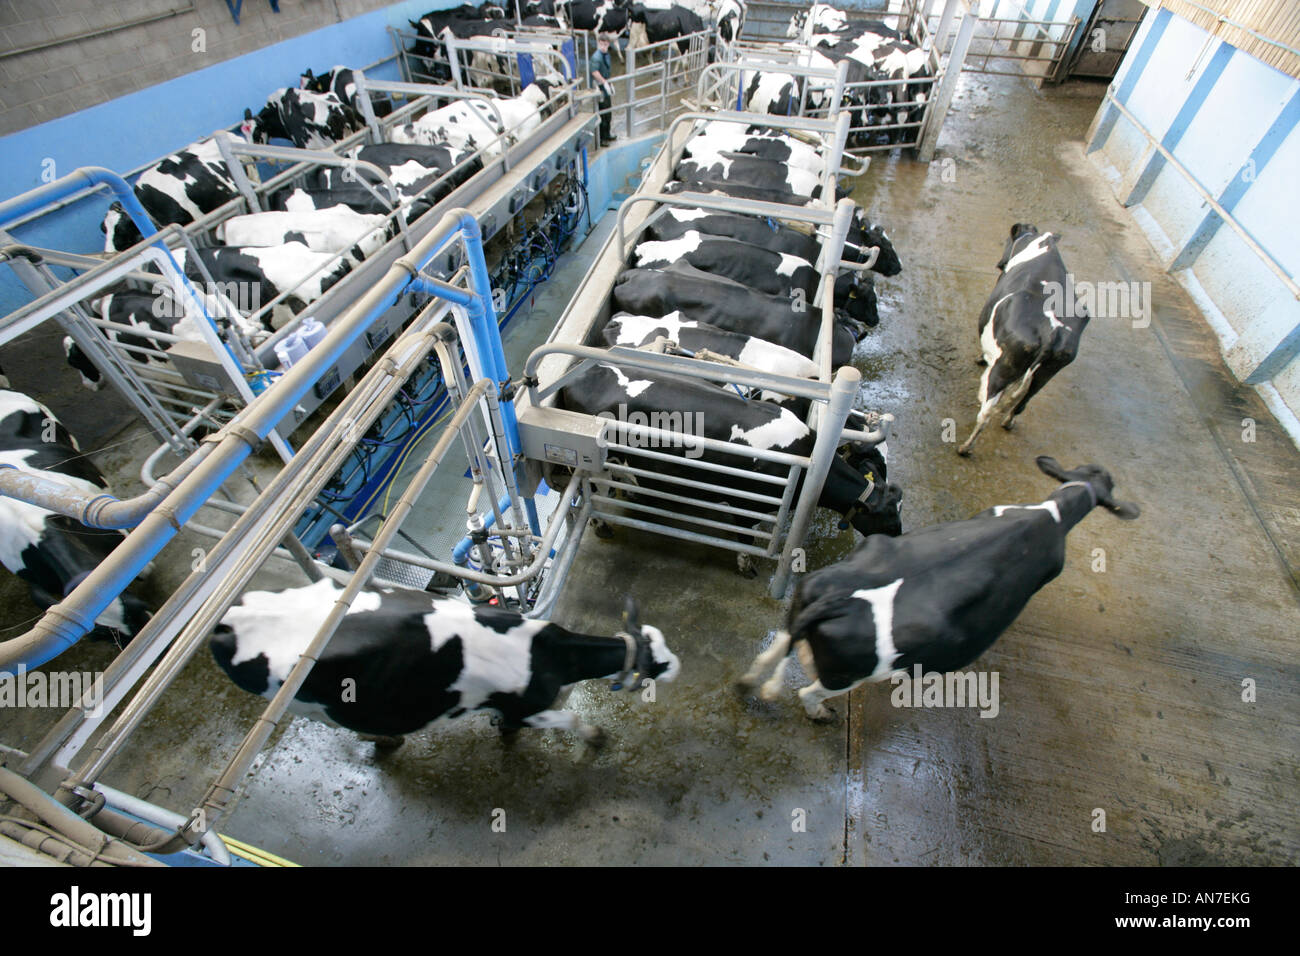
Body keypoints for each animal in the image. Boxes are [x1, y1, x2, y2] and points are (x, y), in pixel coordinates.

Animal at [210, 574, 681, 749]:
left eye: (659, 639)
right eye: (655, 663)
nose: (677, 664)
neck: (548, 654)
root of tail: (230, 617)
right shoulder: (528, 707)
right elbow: (568, 719)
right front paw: (595, 736)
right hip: (303, 702)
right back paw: (383, 740)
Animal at [738, 455, 1144, 717]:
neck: (1051, 515)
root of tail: (838, 600)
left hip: (799, 617)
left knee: (769, 652)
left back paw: (745, 685)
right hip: (847, 674)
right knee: (809, 691)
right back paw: (819, 713)